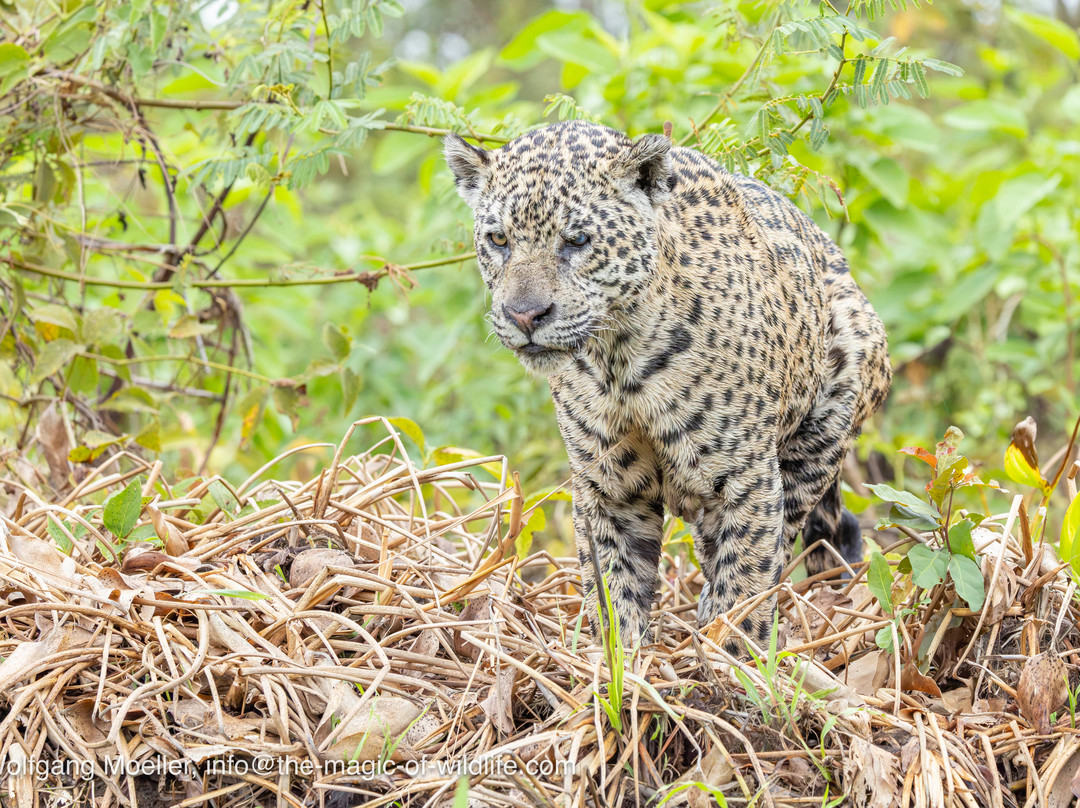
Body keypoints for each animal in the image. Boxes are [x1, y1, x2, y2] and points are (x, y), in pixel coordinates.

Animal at [444, 120, 891, 649]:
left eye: (576, 240)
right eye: (498, 239)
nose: (525, 315)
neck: (618, 363)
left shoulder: (746, 479)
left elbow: (746, 579)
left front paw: (730, 655)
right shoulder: (605, 487)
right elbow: (613, 584)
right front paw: (620, 658)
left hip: (827, 411)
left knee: (781, 536)